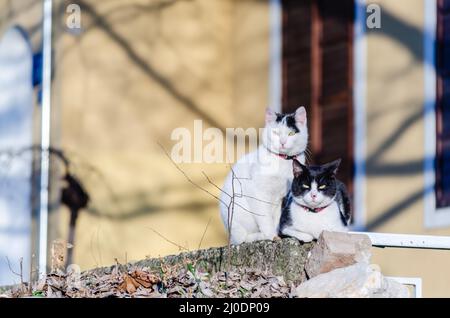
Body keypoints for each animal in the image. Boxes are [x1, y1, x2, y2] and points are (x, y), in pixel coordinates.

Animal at [219, 108, 310, 245]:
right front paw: (271, 236)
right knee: (242, 239)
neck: (282, 161)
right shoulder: (257, 193)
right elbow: (265, 218)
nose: (282, 142)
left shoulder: (280, 198)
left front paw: (276, 234)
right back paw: (259, 236)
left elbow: (276, 219)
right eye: (276, 133)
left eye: (291, 133)